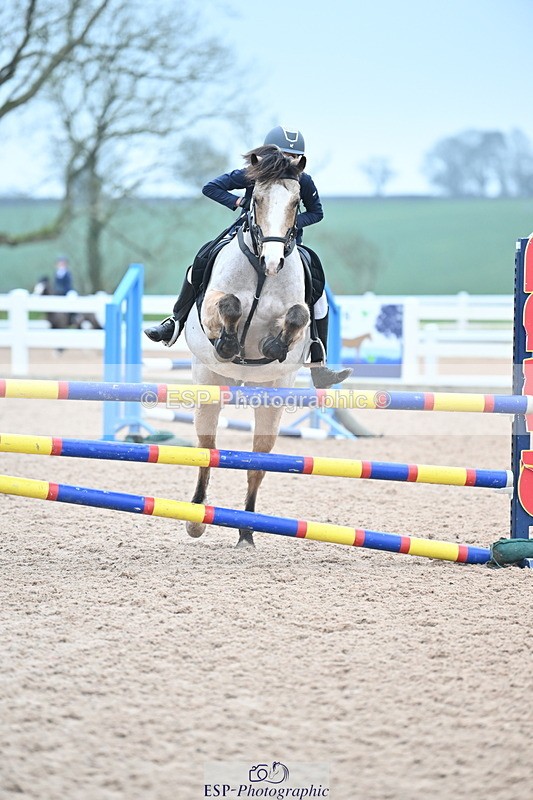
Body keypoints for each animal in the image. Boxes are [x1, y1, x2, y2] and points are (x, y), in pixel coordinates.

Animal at [184, 145, 312, 548]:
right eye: (255, 199)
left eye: (296, 201)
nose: (274, 261)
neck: (260, 272)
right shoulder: (212, 307)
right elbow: (229, 305)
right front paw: (228, 343)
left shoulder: (295, 316)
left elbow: (297, 316)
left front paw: (273, 345)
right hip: (208, 386)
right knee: (207, 450)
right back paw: (196, 519)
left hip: (271, 399)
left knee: (258, 461)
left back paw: (246, 531)